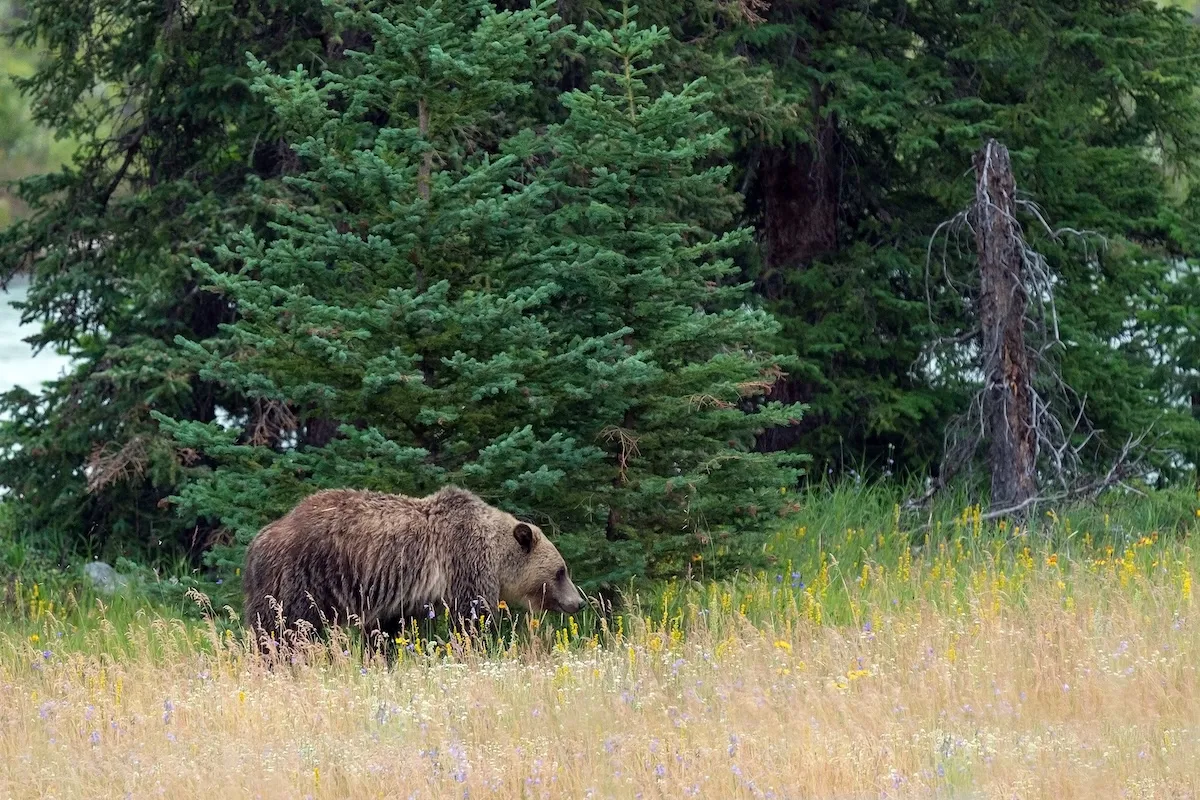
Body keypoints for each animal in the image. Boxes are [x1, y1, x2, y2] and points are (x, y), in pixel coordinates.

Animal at [241, 485, 585, 647]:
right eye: (561, 571)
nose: (579, 602)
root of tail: (259, 539)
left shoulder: (394, 597)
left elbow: (385, 631)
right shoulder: (464, 564)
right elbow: (472, 618)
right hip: (301, 578)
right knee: (282, 627)